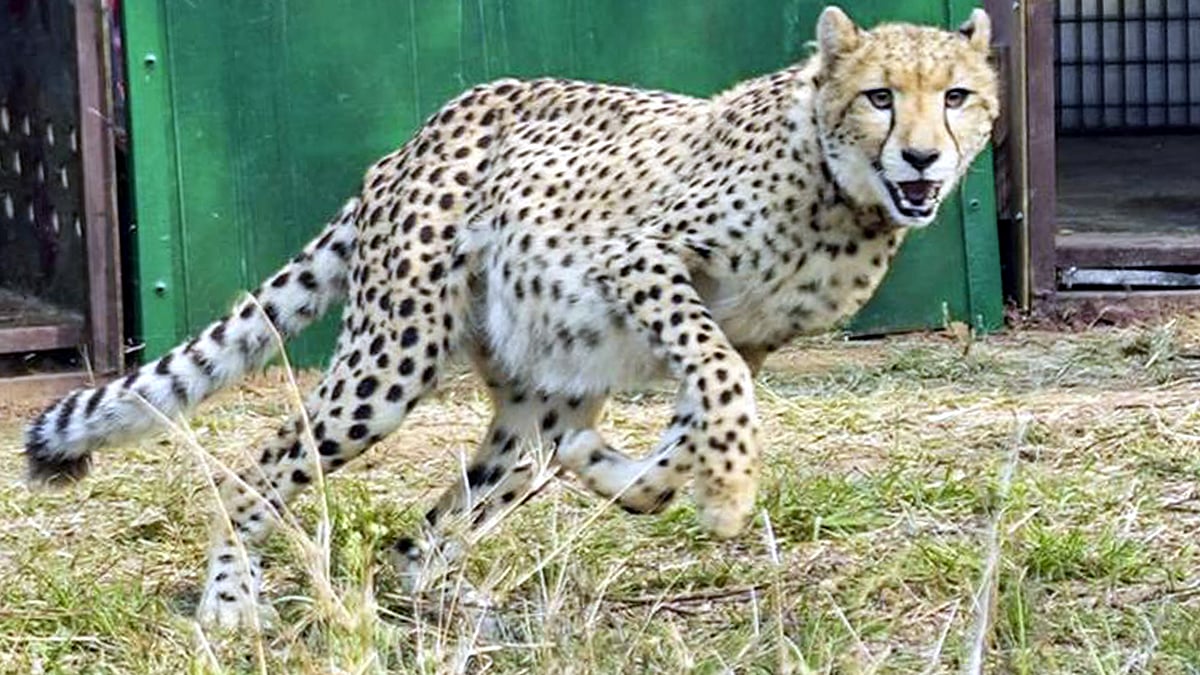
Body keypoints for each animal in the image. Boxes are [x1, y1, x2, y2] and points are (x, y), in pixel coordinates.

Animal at [23, 6, 998, 628]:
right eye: (880, 95)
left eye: (956, 97)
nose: (921, 157)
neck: (842, 200)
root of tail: (414, 138)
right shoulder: (640, 259)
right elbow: (714, 386)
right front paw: (724, 493)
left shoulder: (750, 336)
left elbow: (691, 425)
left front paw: (640, 476)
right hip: (389, 361)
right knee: (264, 460)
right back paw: (231, 603)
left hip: (532, 388)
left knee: (463, 498)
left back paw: (444, 593)